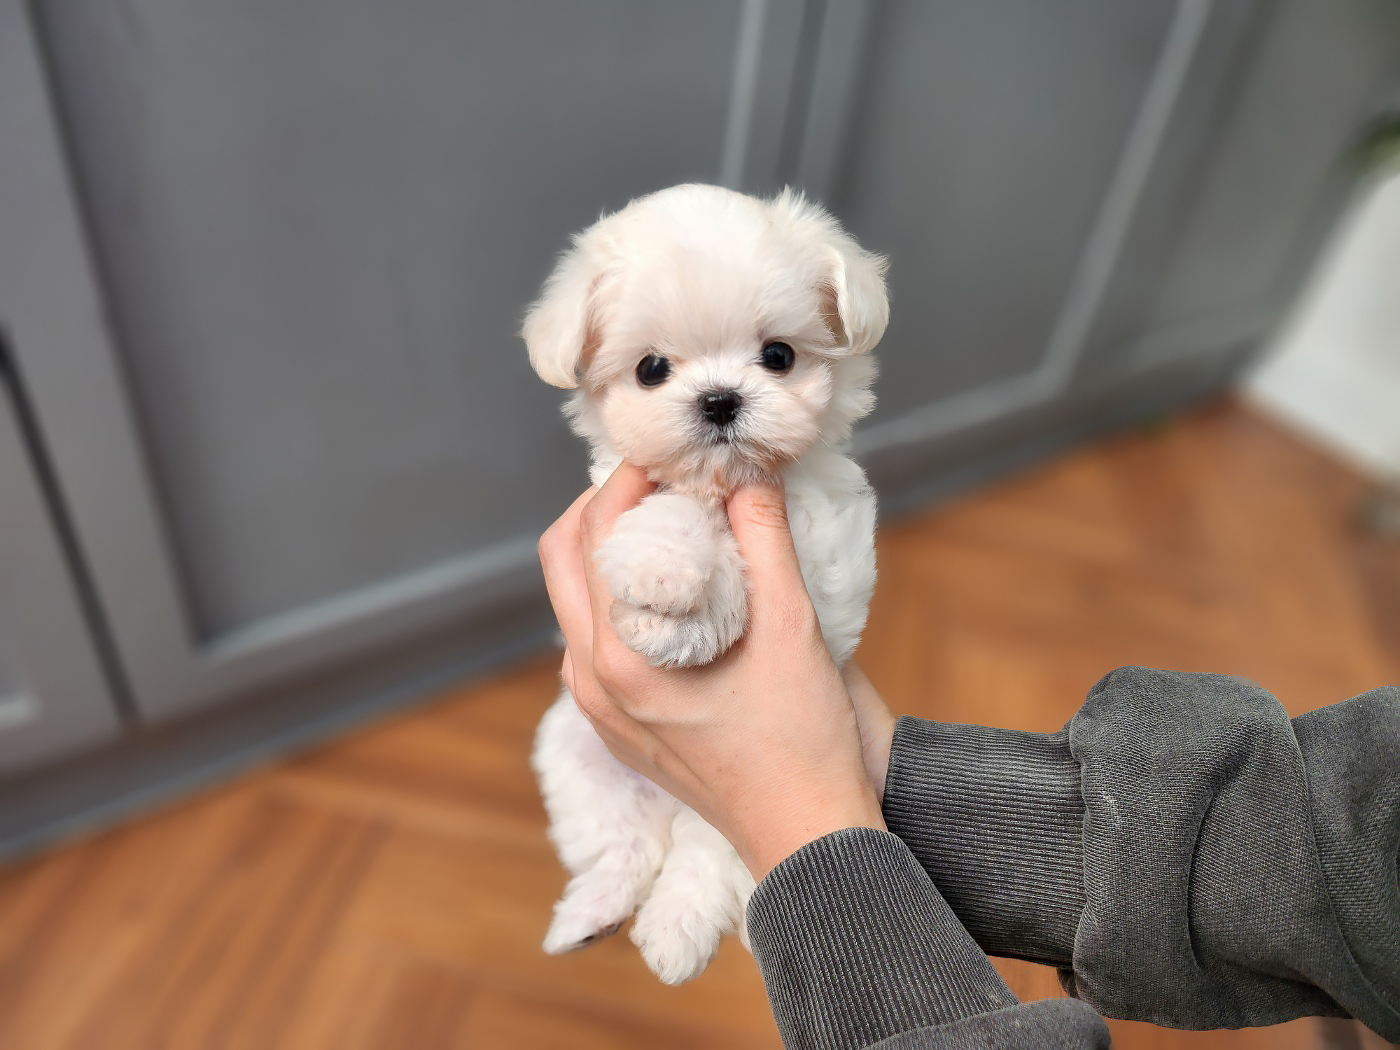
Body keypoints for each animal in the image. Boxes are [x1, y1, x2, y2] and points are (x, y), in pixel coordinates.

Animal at [525, 183, 887, 983]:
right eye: (651, 369)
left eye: (778, 356)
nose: (720, 400)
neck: (722, 484)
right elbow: (672, 514)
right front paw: (664, 576)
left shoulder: (823, 545)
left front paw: (687, 618)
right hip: (574, 755)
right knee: (624, 843)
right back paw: (590, 916)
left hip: (722, 804)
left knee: (706, 854)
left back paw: (678, 929)